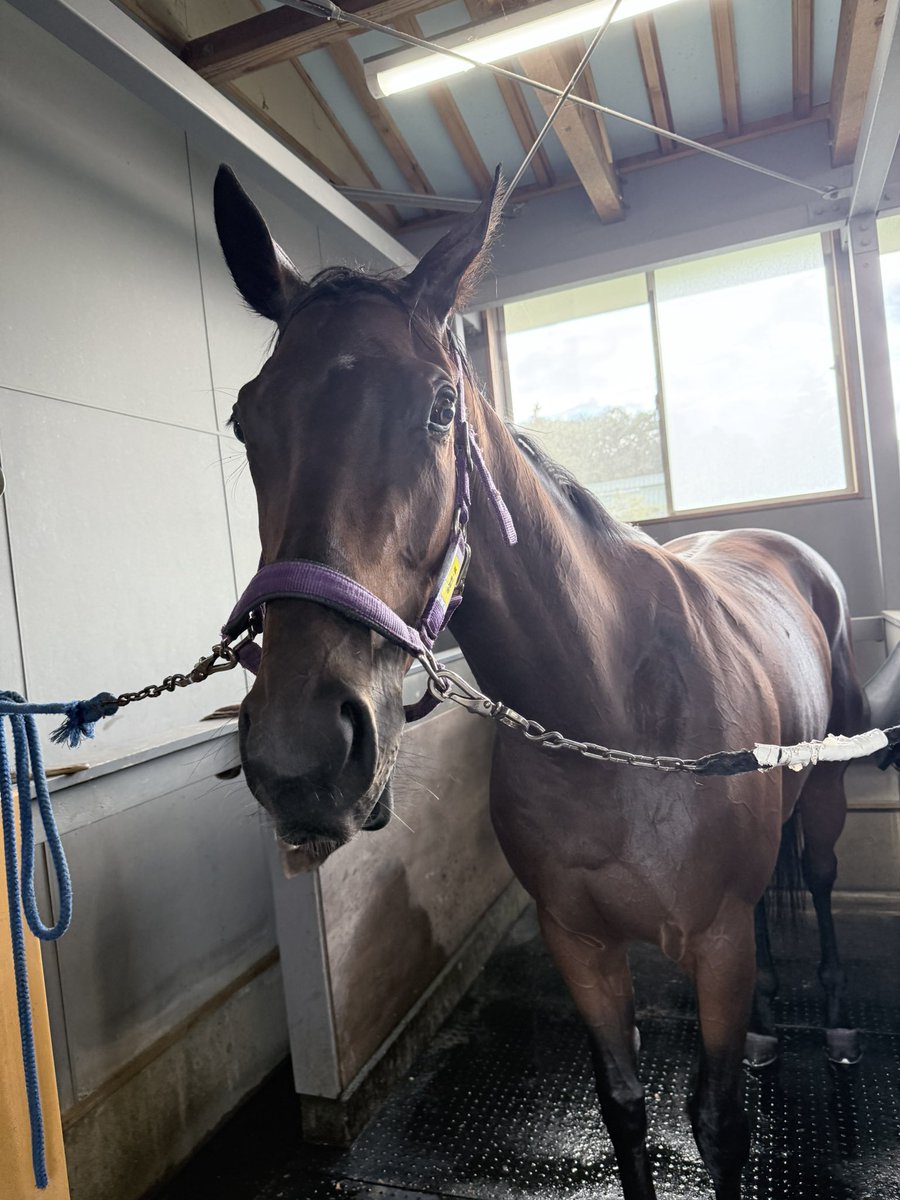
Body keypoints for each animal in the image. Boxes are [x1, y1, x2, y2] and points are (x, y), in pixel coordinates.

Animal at [213, 165, 891, 1200]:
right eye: (246, 418)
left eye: (439, 408)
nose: (303, 750)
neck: (613, 714)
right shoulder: (583, 945)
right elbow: (626, 1112)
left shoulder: (717, 942)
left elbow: (721, 1124)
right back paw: (775, 1022)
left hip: (822, 796)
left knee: (811, 878)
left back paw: (837, 1017)